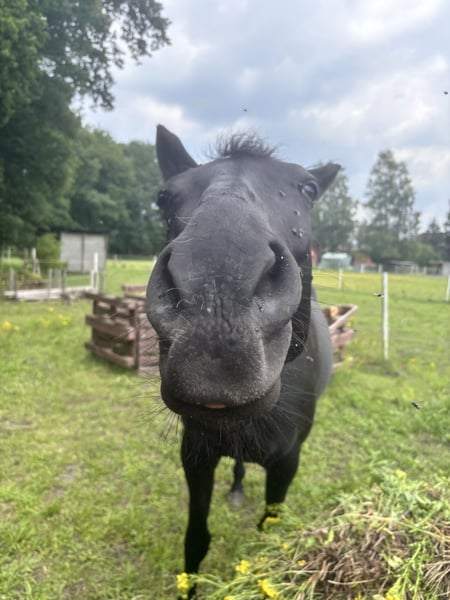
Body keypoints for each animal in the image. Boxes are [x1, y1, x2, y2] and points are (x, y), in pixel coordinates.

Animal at [146, 125, 339, 585]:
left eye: (308, 188)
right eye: (164, 196)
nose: (216, 301)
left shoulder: (287, 465)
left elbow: (267, 542)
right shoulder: (195, 456)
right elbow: (195, 542)